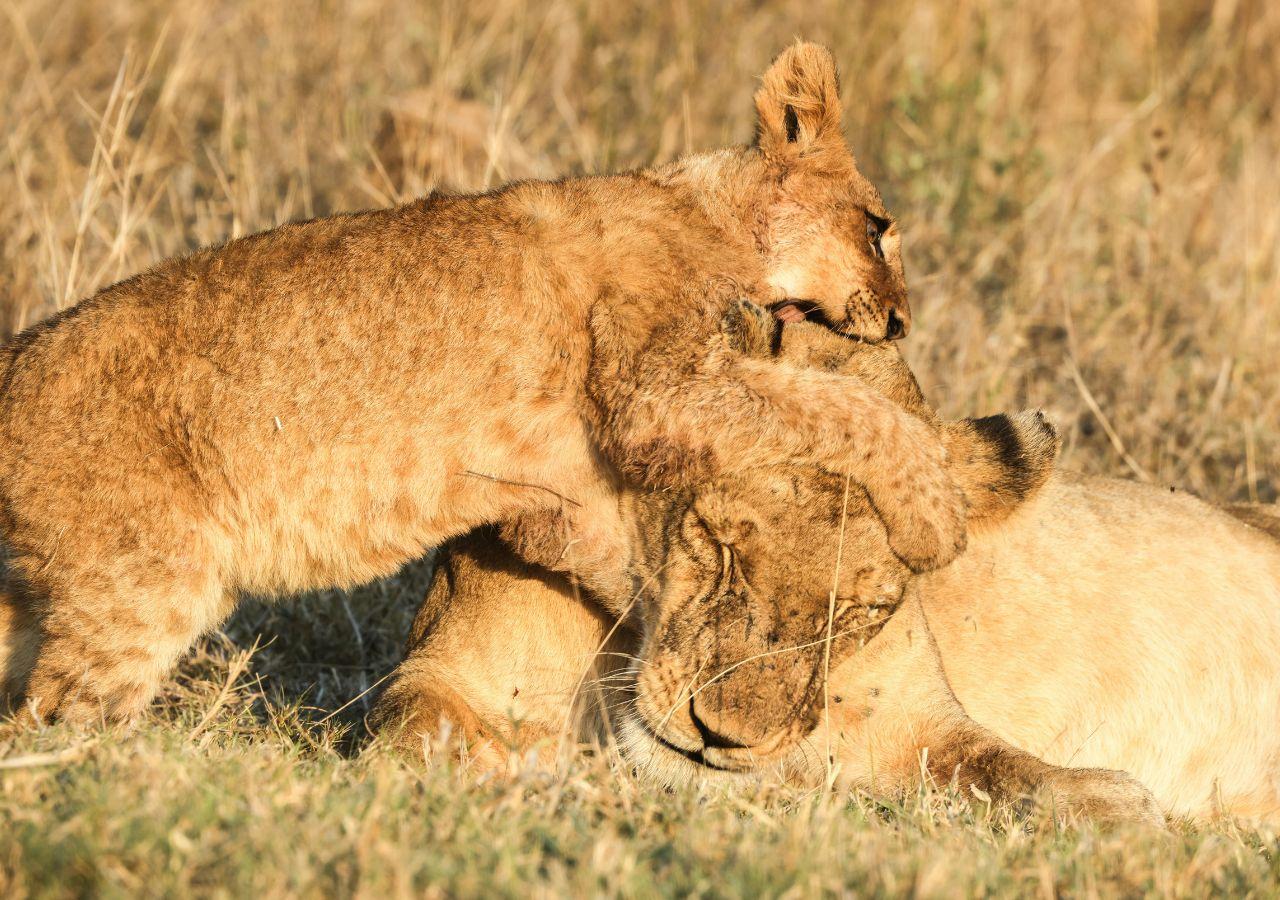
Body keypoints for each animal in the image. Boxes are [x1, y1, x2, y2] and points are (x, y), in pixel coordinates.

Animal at [0, 43, 971, 723]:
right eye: (878, 227)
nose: (902, 322)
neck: (704, 210)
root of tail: (14, 359)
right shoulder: (654, 397)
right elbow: (843, 405)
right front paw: (936, 516)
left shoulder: (575, 493)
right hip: (142, 585)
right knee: (54, 723)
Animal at [372, 323, 1280, 825]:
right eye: (720, 544)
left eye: (864, 612)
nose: (722, 739)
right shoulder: (446, 667)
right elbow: (417, 733)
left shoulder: (921, 721)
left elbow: (999, 767)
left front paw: (1116, 810)